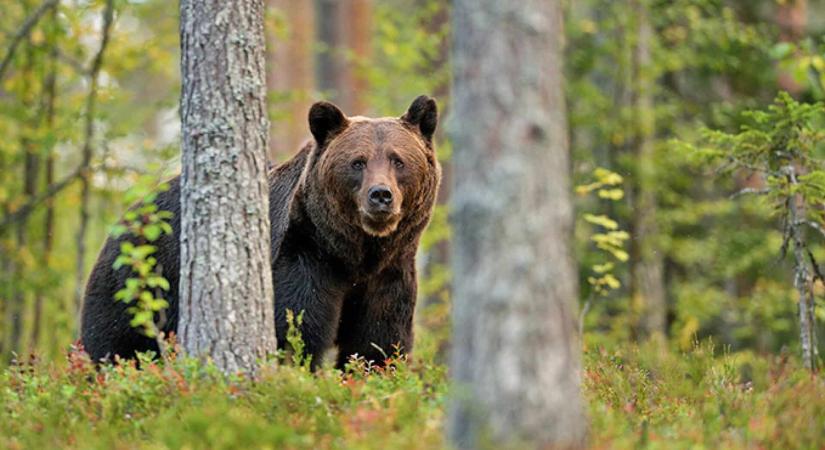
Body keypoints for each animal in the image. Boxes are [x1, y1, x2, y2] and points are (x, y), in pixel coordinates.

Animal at [83, 95, 440, 370]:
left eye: (398, 160)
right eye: (357, 162)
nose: (380, 195)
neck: (355, 253)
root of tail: (129, 215)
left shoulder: (388, 275)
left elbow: (377, 344)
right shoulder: (303, 255)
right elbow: (297, 329)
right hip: (139, 281)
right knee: (115, 344)